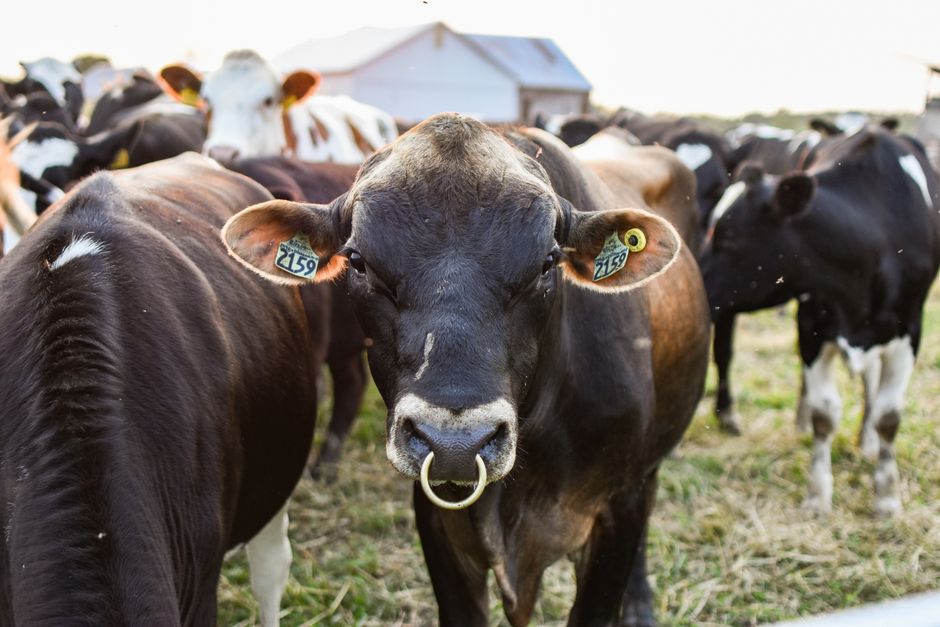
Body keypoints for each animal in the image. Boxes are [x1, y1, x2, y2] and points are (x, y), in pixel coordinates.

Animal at [699, 126, 940, 516]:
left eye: (728, 239)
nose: (693, 286)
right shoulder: (812, 325)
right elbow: (823, 414)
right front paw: (818, 494)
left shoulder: (909, 332)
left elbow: (889, 417)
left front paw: (887, 497)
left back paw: (866, 440)